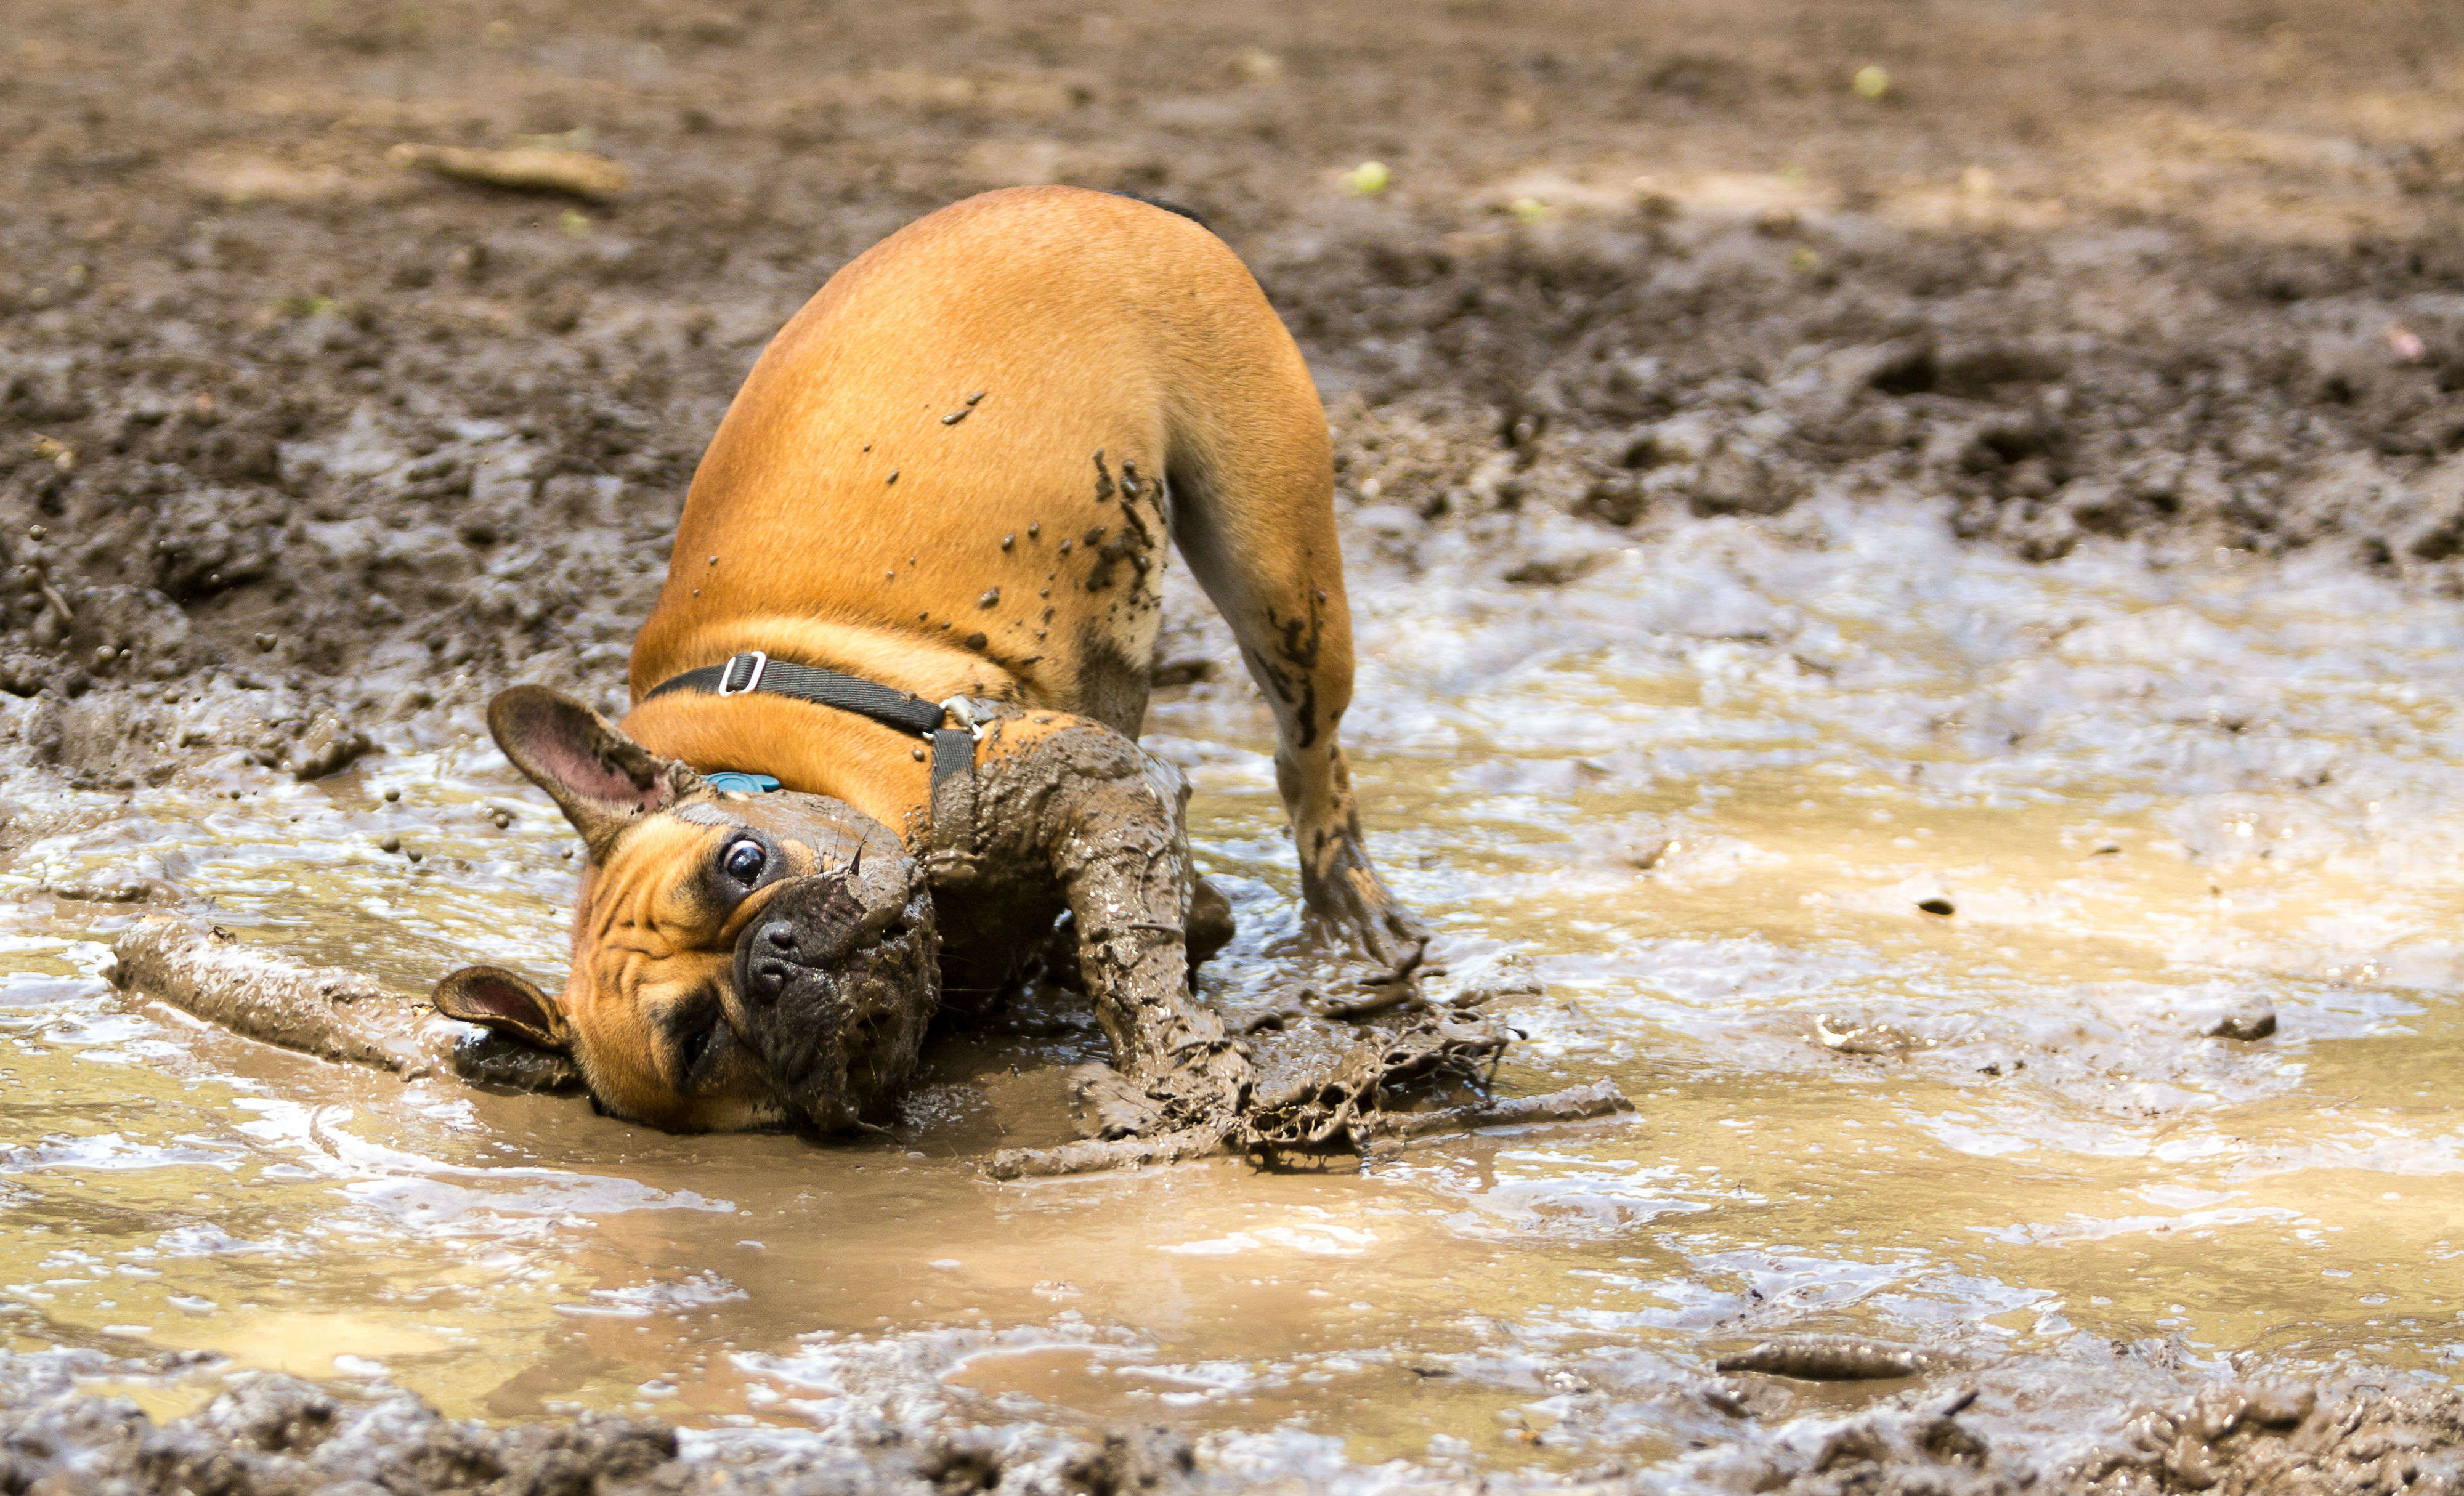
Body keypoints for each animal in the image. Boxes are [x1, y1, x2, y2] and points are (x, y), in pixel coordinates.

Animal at [434, 187, 1419, 1133]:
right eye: (699, 1040)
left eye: (743, 863)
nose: (771, 958)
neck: (769, 765)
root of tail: (1095, 197)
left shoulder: (1086, 778)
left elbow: (1128, 943)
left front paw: (1174, 1062)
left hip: (1277, 572)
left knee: (1308, 752)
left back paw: (1352, 914)